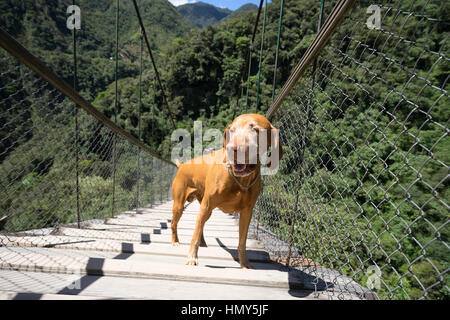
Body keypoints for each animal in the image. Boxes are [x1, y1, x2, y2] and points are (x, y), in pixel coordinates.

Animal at [171, 114, 284, 268]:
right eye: (232, 130)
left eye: (255, 129)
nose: (232, 149)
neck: (241, 180)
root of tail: (182, 166)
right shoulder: (207, 205)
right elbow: (194, 236)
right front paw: (192, 258)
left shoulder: (247, 212)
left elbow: (242, 241)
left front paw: (245, 263)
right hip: (180, 205)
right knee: (176, 223)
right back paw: (175, 241)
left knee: (201, 224)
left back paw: (203, 242)